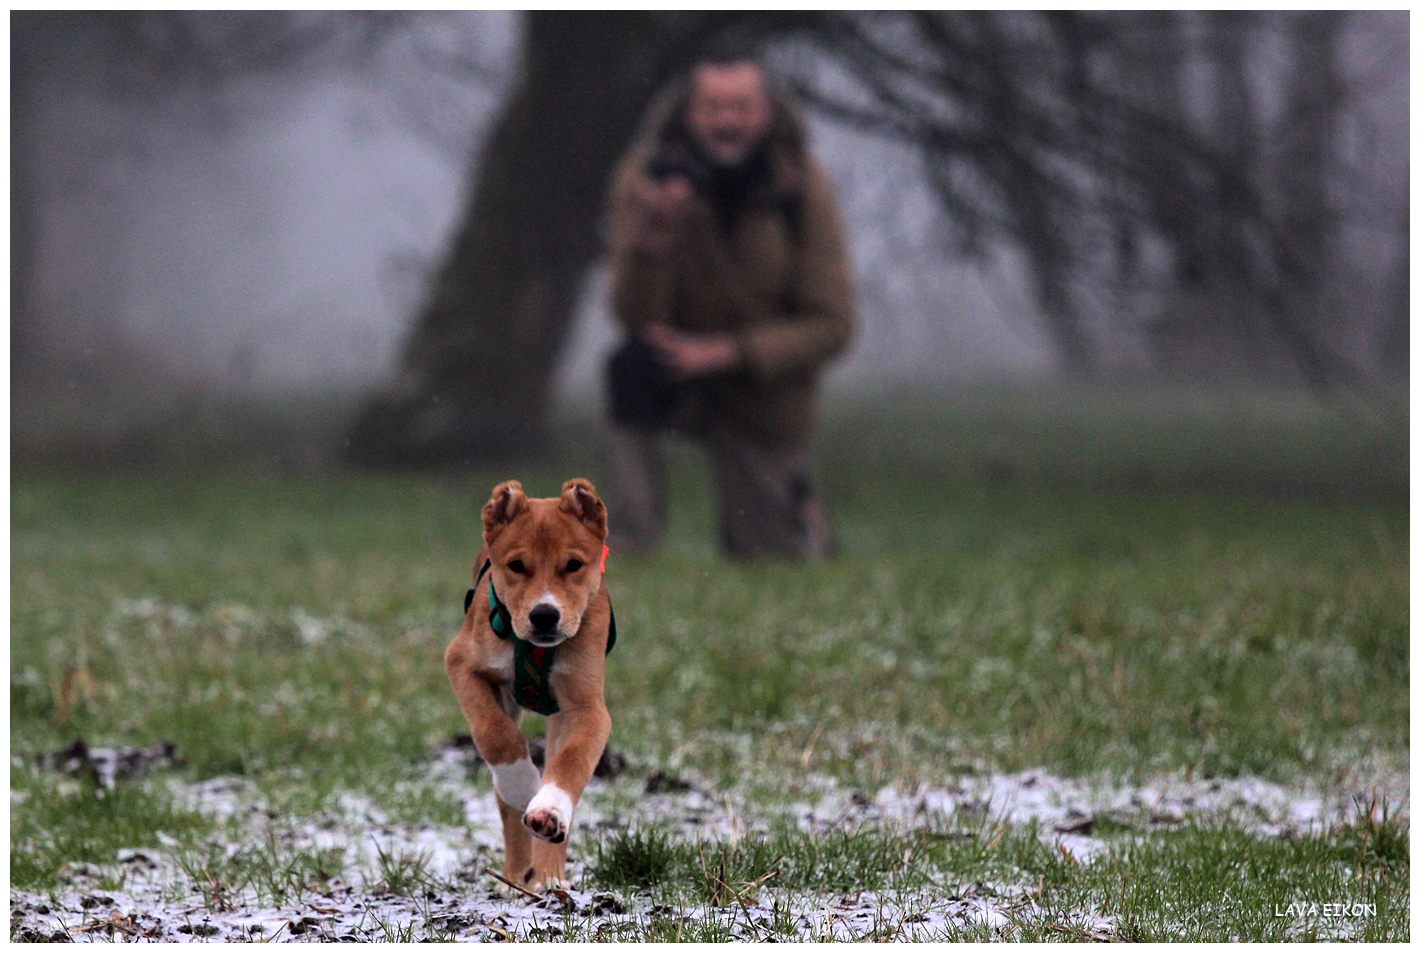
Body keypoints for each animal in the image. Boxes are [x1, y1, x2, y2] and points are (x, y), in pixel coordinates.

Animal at [443, 480, 616, 891]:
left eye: (573, 565)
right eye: (517, 566)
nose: (544, 615)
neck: (537, 649)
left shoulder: (587, 706)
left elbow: (572, 759)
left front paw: (548, 810)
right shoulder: (461, 663)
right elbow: (493, 733)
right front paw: (522, 785)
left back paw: (549, 877)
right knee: (505, 802)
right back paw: (516, 874)